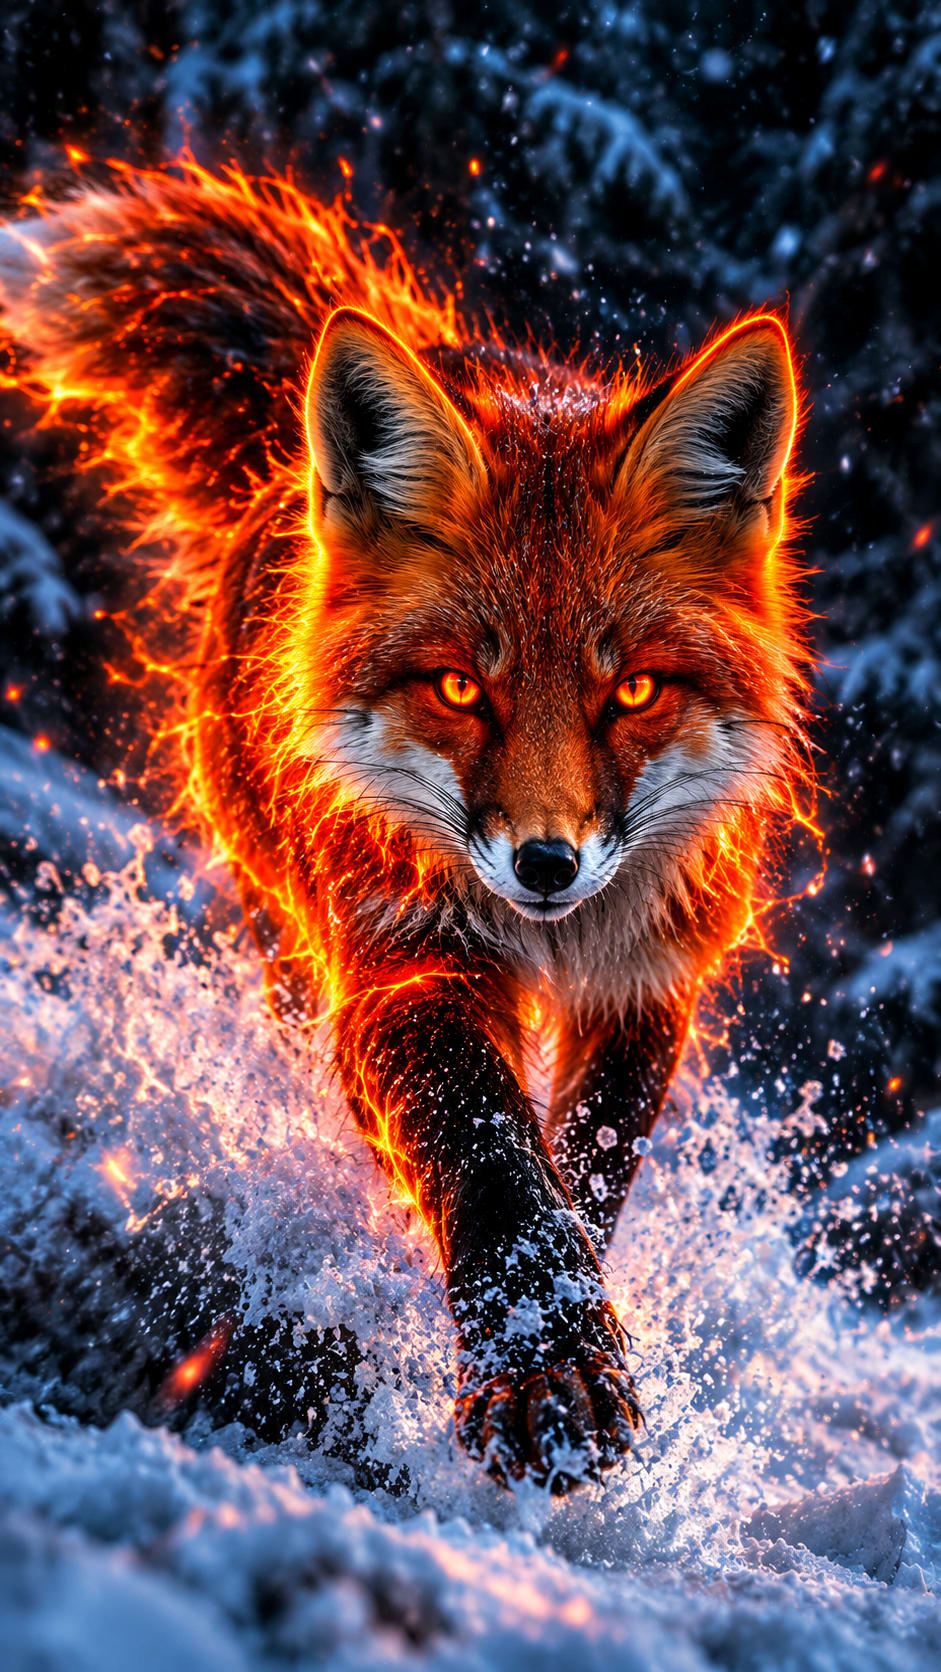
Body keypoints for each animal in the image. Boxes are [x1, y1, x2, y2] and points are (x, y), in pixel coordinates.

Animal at [0, 158, 807, 1492]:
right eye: (459, 687)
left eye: (632, 690)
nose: (545, 862)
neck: (545, 938)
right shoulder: (404, 961)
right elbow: (484, 1150)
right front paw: (537, 1361)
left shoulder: (644, 983)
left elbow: (583, 1163)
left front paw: (565, 1312)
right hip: (292, 934)